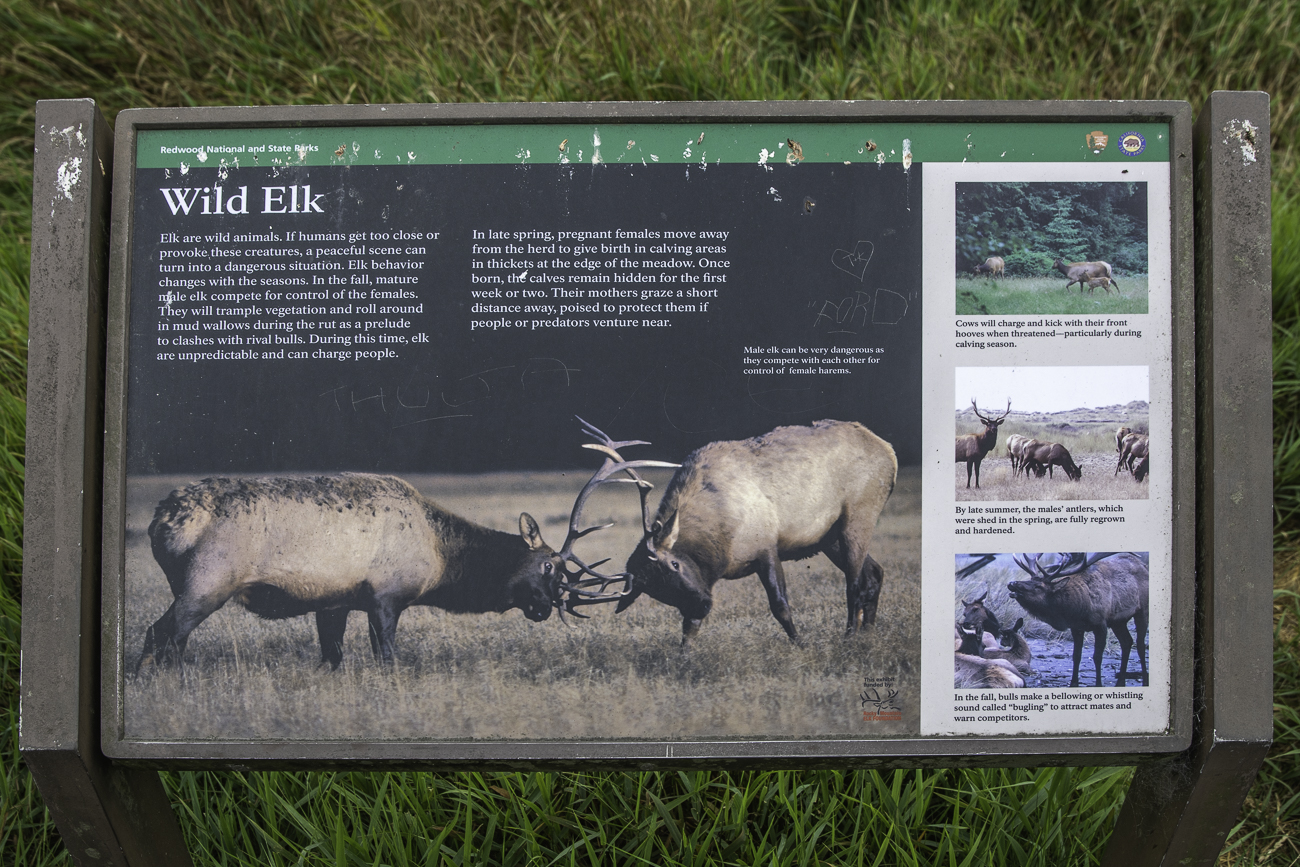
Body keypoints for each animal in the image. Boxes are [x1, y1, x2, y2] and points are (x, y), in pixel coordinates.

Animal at [137, 421, 676, 670]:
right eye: (548, 566)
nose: (545, 608)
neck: (439, 560)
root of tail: (165, 519)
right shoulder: (385, 595)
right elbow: (388, 658)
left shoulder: (334, 601)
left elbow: (332, 658)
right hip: (208, 581)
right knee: (161, 635)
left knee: (167, 639)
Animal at [613, 415, 899, 647]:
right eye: (657, 591)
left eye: (675, 564)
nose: (704, 604)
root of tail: (889, 450)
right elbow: (689, 627)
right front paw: (684, 656)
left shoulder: (766, 547)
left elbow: (780, 606)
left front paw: (801, 645)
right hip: (830, 538)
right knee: (874, 572)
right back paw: (868, 634)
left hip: (858, 516)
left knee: (855, 584)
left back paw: (849, 638)